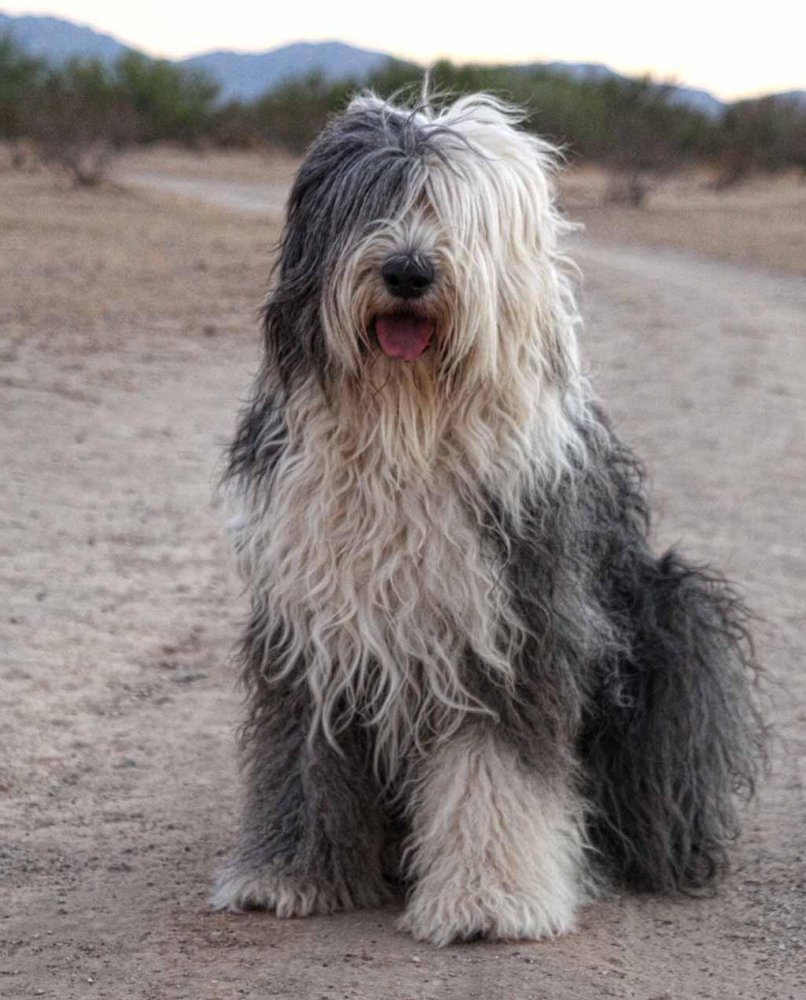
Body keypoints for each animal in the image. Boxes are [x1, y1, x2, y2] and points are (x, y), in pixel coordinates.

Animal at [211, 94, 768, 944]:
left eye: (453, 212)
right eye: (375, 200)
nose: (409, 271)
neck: (406, 427)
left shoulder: (510, 623)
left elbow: (494, 770)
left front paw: (488, 900)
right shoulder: (312, 621)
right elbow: (300, 752)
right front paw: (290, 874)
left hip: (675, 612)